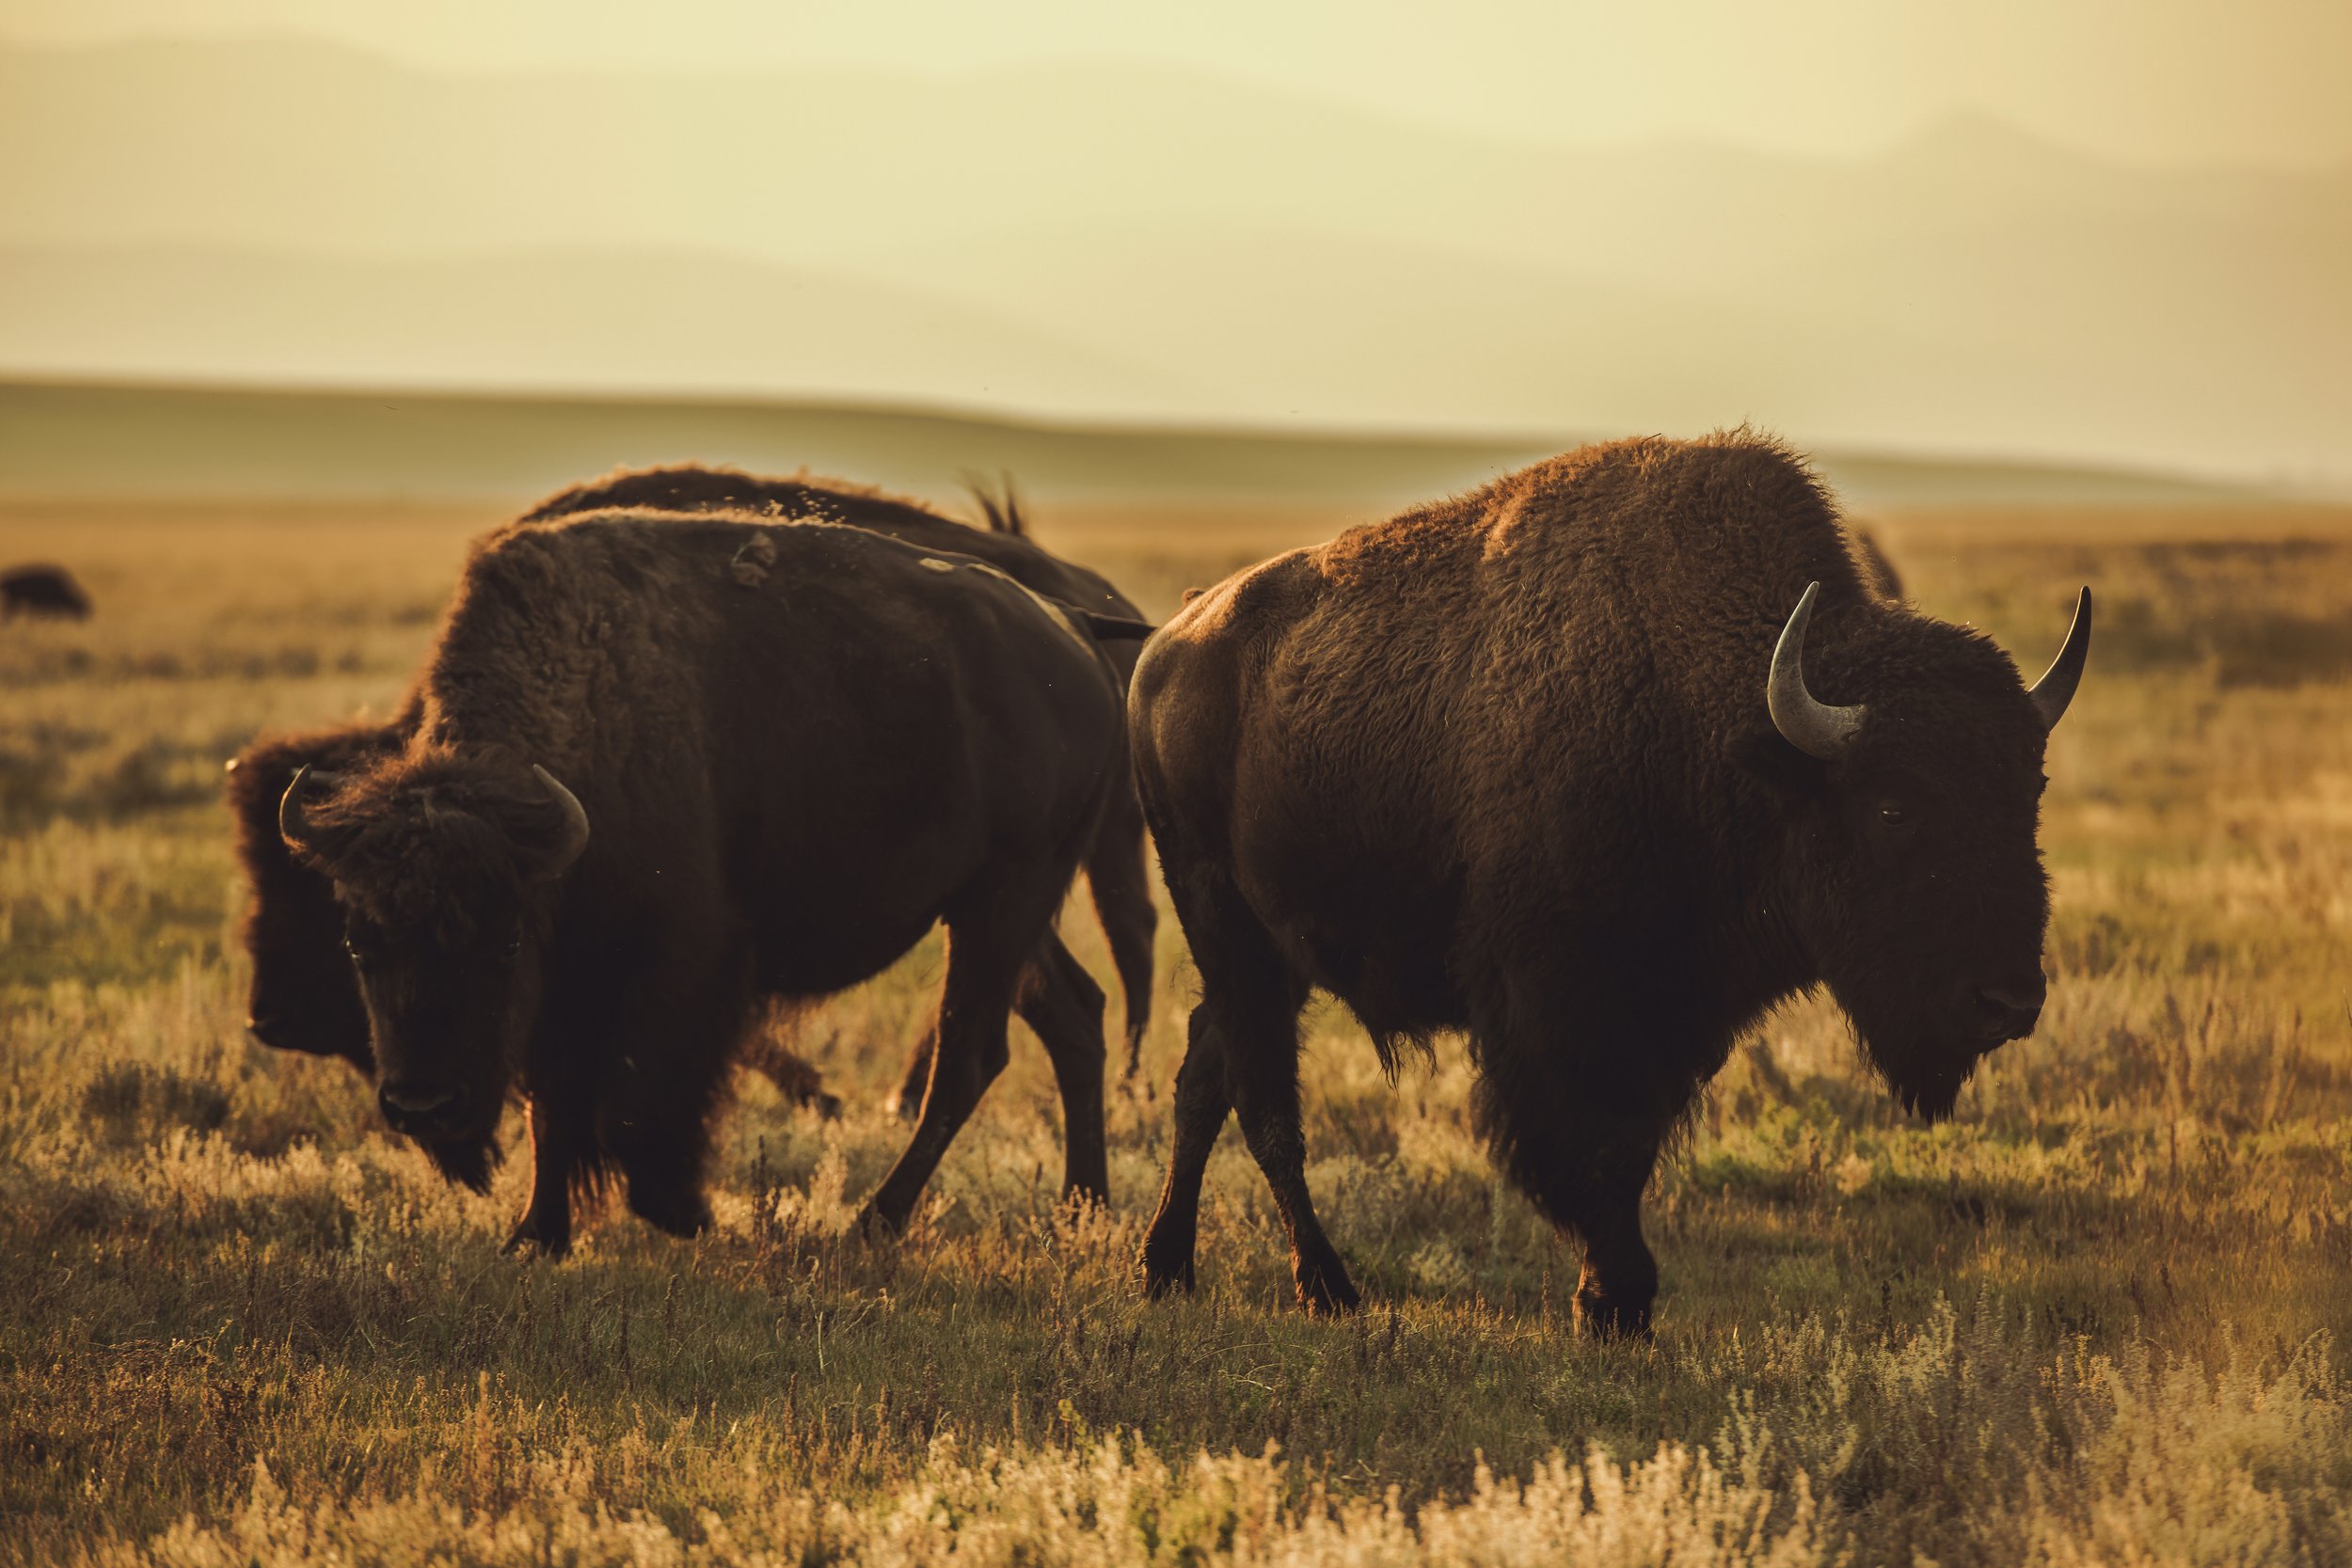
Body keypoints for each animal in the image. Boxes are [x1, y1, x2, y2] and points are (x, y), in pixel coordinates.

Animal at [276, 509, 1145, 1253]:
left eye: (504, 943)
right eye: (358, 944)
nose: (422, 1105)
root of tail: (1074, 628)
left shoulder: (680, 958)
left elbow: (635, 1099)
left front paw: (681, 1211)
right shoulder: (567, 984)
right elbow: (551, 1107)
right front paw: (536, 1236)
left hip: (1007, 898)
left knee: (969, 1055)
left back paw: (874, 1223)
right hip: (1000, 912)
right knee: (1074, 1015)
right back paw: (1083, 1208)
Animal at [1129, 431, 2089, 1330]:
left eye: (2030, 793)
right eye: (1891, 806)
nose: (2008, 1001)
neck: (1714, 715)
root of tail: (1165, 649)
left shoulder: (1671, 1009)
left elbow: (1630, 1146)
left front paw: (1609, 1299)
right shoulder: (1561, 999)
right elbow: (1593, 1142)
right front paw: (1617, 1299)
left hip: (1271, 957)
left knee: (1206, 1074)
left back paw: (1167, 1268)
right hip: (1226, 927)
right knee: (1261, 1099)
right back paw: (1326, 1287)